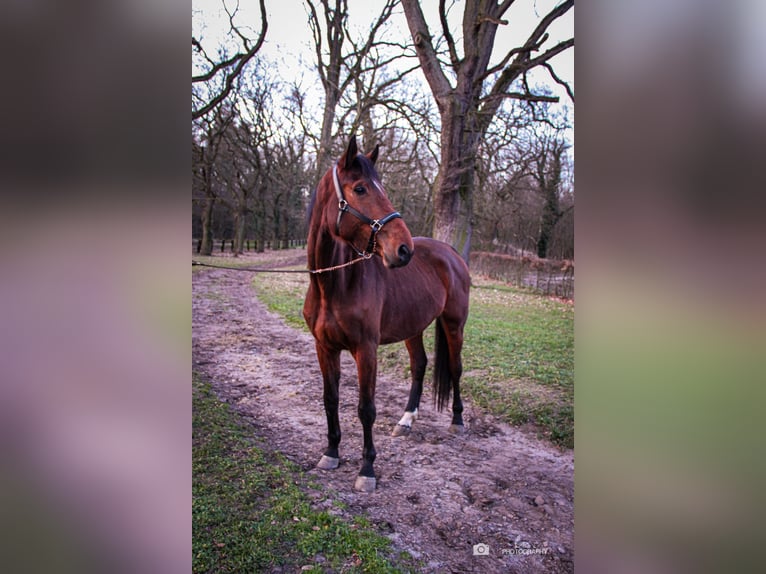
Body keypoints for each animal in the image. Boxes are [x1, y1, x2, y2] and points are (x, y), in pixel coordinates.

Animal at [304, 136, 472, 496]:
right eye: (360, 188)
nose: (403, 249)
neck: (335, 284)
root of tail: (452, 254)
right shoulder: (325, 348)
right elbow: (330, 399)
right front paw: (331, 453)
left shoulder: (366, 350)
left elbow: (366, 409)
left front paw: (367, 470)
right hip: (413, 327)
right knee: (420, 365)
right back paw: (406, 421)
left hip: (454, 325)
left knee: (455, 368)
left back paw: (457, 421)